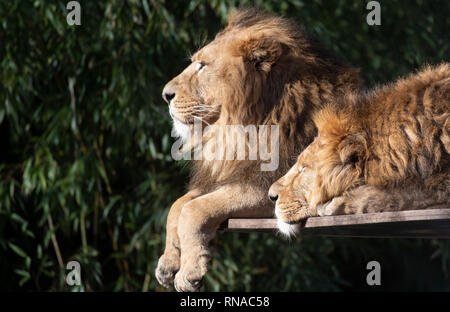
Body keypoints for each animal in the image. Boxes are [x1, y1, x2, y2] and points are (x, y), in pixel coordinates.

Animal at [156, 7, 360, 292]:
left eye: (203, 65)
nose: (165, 95)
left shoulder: (269, 186)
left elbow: (194, 209)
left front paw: (189, 269)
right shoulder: (225, 175)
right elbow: (177, 206)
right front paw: (168, 261)